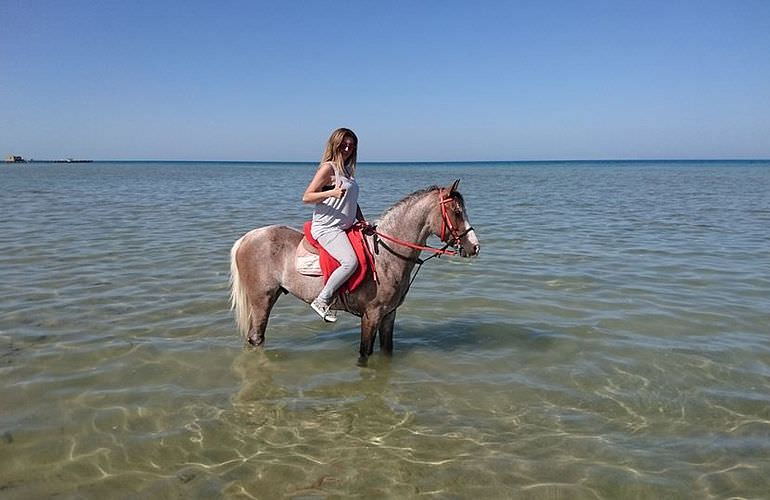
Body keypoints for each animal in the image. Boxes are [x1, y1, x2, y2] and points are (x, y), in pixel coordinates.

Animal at [228, 178, 480, 366]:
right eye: (457, 212)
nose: (474, 246)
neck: (386, 254)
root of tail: (247, 238)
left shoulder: (389, 315)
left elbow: (386, 351)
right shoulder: (371, 316)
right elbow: (364, 354)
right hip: (262, 300)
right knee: (256, 338)